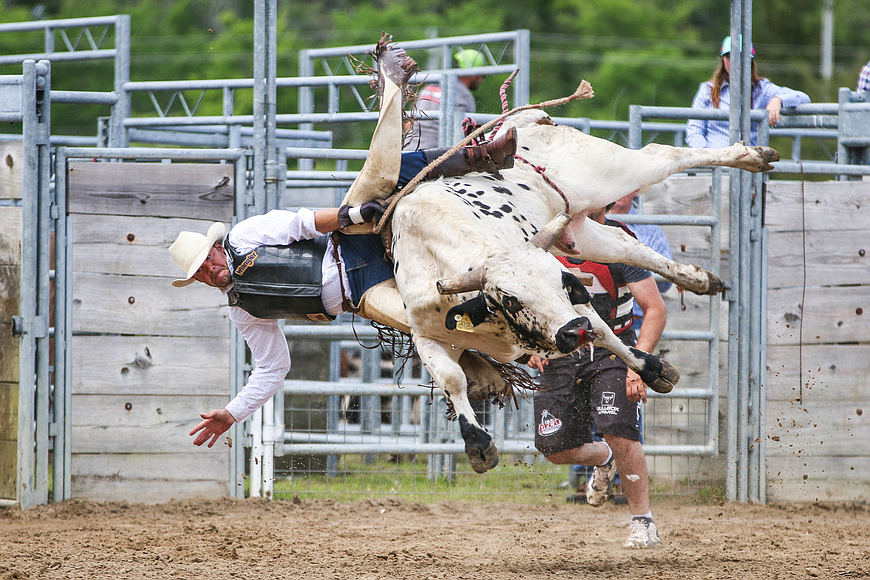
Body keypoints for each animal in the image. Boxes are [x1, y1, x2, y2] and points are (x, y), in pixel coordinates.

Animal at [384, 110, 780, 476]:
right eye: (510, 299)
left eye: (561, 281)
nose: (573, 332)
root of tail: (526, 121)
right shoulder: (426, 335)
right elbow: (453, 380)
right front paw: (478, 445)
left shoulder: (576, 306)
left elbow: (604, 330)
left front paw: (653, 369)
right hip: (575, 230)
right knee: (625, 244)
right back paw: (699, 278)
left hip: (607, 171)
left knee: (661, 154)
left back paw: (753, 155)